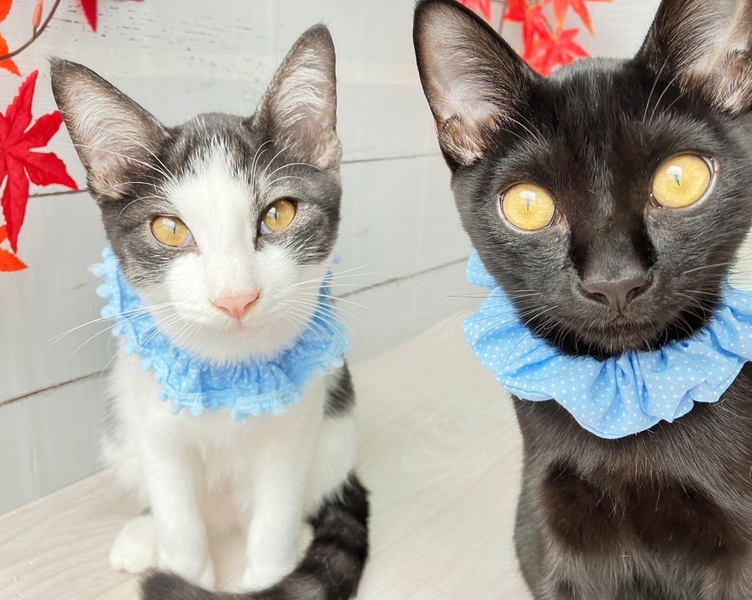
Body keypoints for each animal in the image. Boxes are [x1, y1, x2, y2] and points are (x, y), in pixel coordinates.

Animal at [50, 25, 368, 600]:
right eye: (169, 228)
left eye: (279, 213)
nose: (235, 297)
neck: (229, 366)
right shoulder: (155, 421)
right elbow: (174, 503)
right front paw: (182, 571)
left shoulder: (298, 421)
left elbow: (278, 503)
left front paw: (272, 572)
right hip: (123, 421)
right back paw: (144, 533)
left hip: (337, 431)